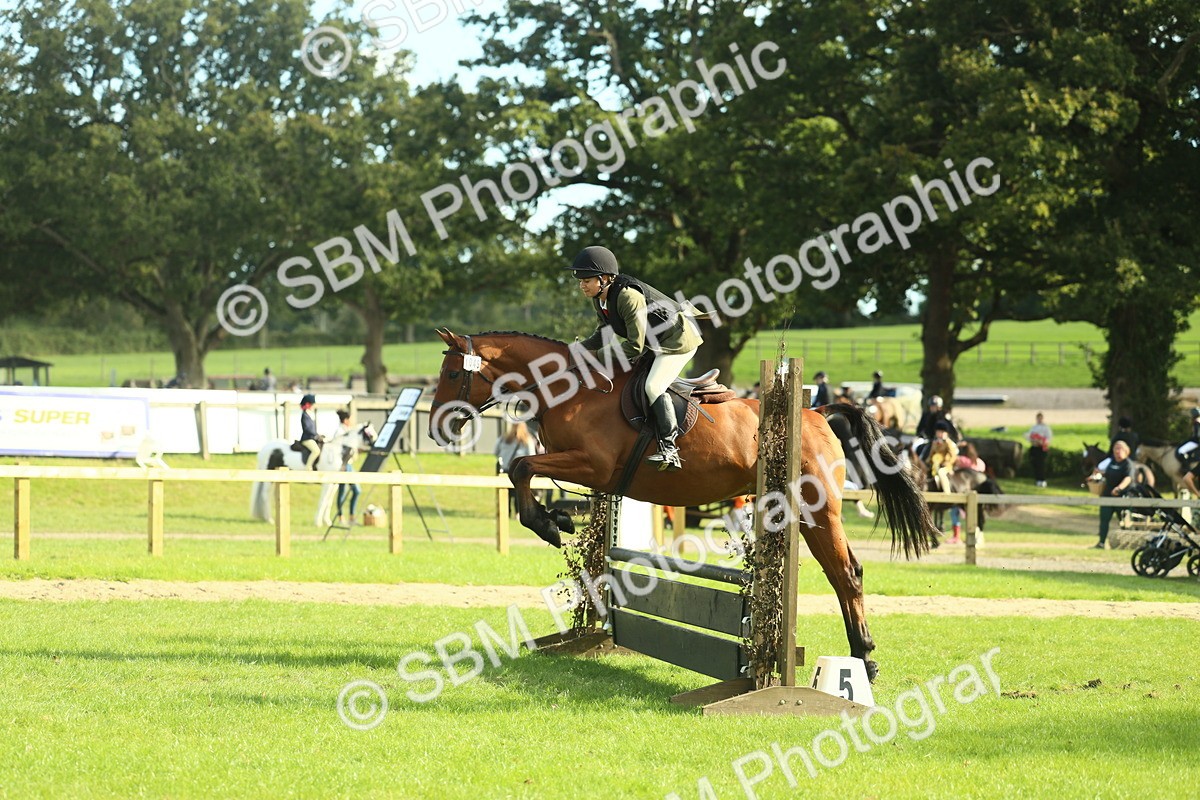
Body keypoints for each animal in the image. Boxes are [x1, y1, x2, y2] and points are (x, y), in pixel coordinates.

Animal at [429, 329, 939, 680]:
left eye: (453, 374)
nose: (437, 428)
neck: (572, 391)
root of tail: (816, 412)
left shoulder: (594, 466)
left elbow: (521, 468)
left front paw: (549, 524)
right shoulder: (586, 472)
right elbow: (525, 473)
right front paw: (557, 519)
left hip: (817, 510)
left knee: (846, 574)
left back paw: (864, 661)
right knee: (843, 573)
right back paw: (860, 659)